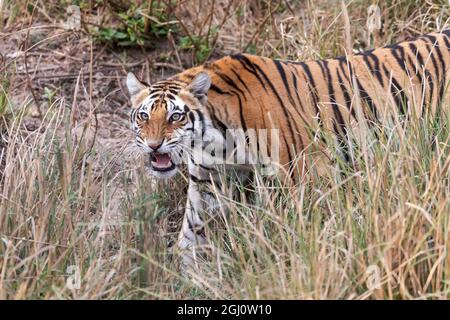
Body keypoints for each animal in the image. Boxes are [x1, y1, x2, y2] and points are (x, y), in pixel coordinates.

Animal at [125, 30, 450, 270]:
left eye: (175, 117)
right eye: (143, 116)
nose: (153, 145)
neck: (213, 141)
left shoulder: (301, 173)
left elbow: (302, 227)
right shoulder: (207, 180)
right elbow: (191, 228)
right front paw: (183, 273)